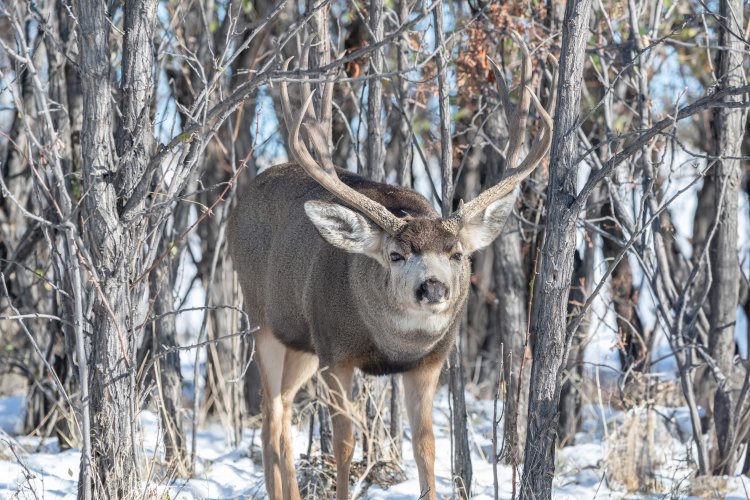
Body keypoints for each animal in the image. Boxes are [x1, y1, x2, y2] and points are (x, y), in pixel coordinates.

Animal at [229, 38, 560, 500]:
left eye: (457, 253)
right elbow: (345, 443)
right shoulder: (336, 351)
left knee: (284, 409)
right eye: (396, 254)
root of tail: (240, 203)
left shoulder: (428, 362)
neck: (392, 345)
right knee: (272, 414)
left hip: (302, 344)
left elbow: (426, 445)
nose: (434, 288)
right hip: (264, 321)